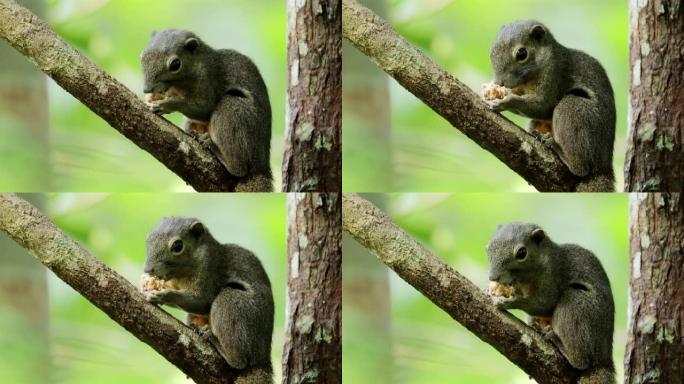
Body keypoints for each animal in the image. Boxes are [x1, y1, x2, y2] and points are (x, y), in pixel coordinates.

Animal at [141, 28, 272, 192]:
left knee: (239, 168)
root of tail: (261, 165)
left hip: (232, 110)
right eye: (142, 57)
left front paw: (167, 104)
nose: (146, 89)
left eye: (175, 65)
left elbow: (203, 107)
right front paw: (150, 98)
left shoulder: (210, 81)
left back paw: (213, 147)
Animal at [143, 216, 274, 384]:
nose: (148, 270)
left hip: (232, 303)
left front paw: (163, 295)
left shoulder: (211, 272)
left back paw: (213, 339)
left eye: (178, 246)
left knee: (239, 361)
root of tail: (262, 356)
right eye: (148, 237)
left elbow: (202, 301)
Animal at [484, 20, 616, 191]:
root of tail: (603, 165)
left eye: (521, 53)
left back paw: (555, 147)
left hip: (573, 109)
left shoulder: (556, 75)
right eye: (491, 51)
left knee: (581, 168)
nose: (500, 82)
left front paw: (505, 101)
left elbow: (543, 106)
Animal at [484, 224, 616, 382]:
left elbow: (545, 303)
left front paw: (510, 302)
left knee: (581, 361)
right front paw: (490, 289)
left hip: (576, 304)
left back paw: (555, 340)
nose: (493, 277)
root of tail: (604, 357)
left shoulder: (552, 278)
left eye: (522, 253)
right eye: (487, 248)